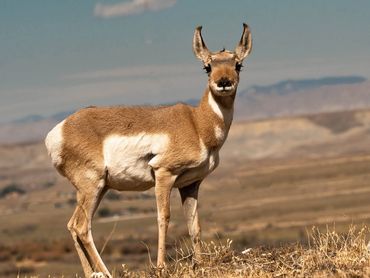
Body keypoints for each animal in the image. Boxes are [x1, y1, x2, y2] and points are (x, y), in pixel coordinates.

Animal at [44, 22, 251, 276]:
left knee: (73, 225)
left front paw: (200, 264)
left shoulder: (191, 184)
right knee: (82, 227)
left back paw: (92, 273)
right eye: (207, 66)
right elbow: (164, 218)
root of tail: (60, 130)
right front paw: (162, 267)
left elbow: (194, 224)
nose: (223, 82)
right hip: (92, 186)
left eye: (238, 65)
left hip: (97, 189)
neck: (197, 123)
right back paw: (106, 272)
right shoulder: (164, 174)